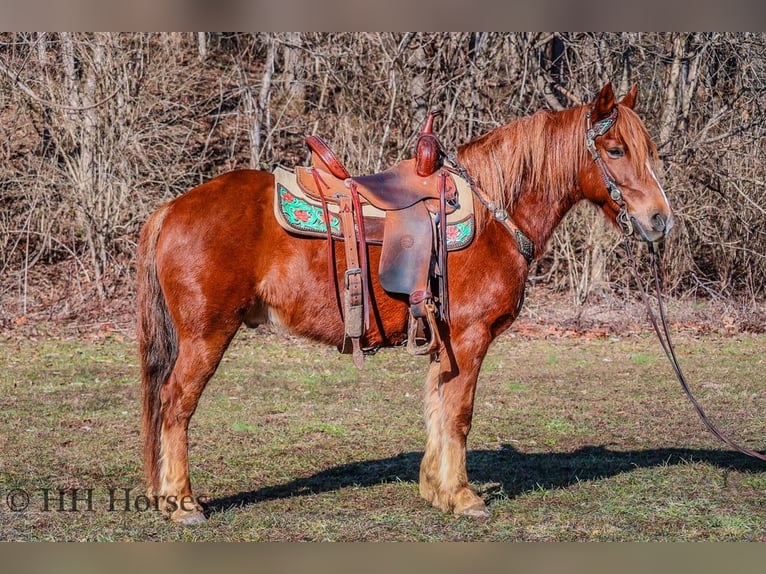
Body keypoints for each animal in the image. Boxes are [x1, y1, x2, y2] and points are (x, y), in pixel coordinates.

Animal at [136, 82, 673, 524]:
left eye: (648, 151)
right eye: (616, 149)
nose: (659, 220)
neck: (494, 214)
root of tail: (171, 209)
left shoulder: (444, 342)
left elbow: (437, 405)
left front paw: (437, 489)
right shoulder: (470, 337)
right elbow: (459, 413)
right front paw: (463, 497)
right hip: (206, 335)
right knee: (176, 403)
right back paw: (183, 503)